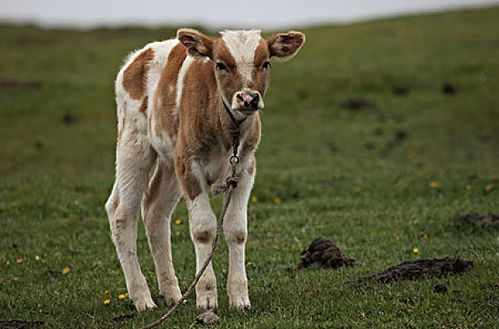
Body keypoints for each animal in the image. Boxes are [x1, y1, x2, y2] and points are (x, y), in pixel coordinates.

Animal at [105, 27, 304, 310]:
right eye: (220, 64)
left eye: (265, 63)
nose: (248, 98)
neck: (226, 130)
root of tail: (138, 56)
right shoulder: (190, 166)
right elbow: (203, 229)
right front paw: (207, 295)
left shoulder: (245, 168)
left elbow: (237, 229)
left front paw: (239, 295)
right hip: (134, 142)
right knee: (121, 213)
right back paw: (142, 298)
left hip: (171, 161)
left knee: (155, 210)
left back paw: (172, 293)